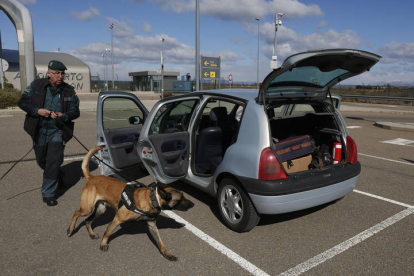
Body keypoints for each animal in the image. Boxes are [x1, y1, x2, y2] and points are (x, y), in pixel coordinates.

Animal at [67, 146, 195, 260]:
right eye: (181, 198)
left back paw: (92, 234)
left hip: (100, 210)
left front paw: (167, 254)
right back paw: (70, 229)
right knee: (76, 213)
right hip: (87, 208)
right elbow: (107, 232)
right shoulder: (117, 219)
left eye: (183, 195)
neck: (152, 199)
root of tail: (92, 178)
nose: (193, 204)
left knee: (87, 220)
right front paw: (103, 244)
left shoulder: (152, 225)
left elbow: (160, 242)